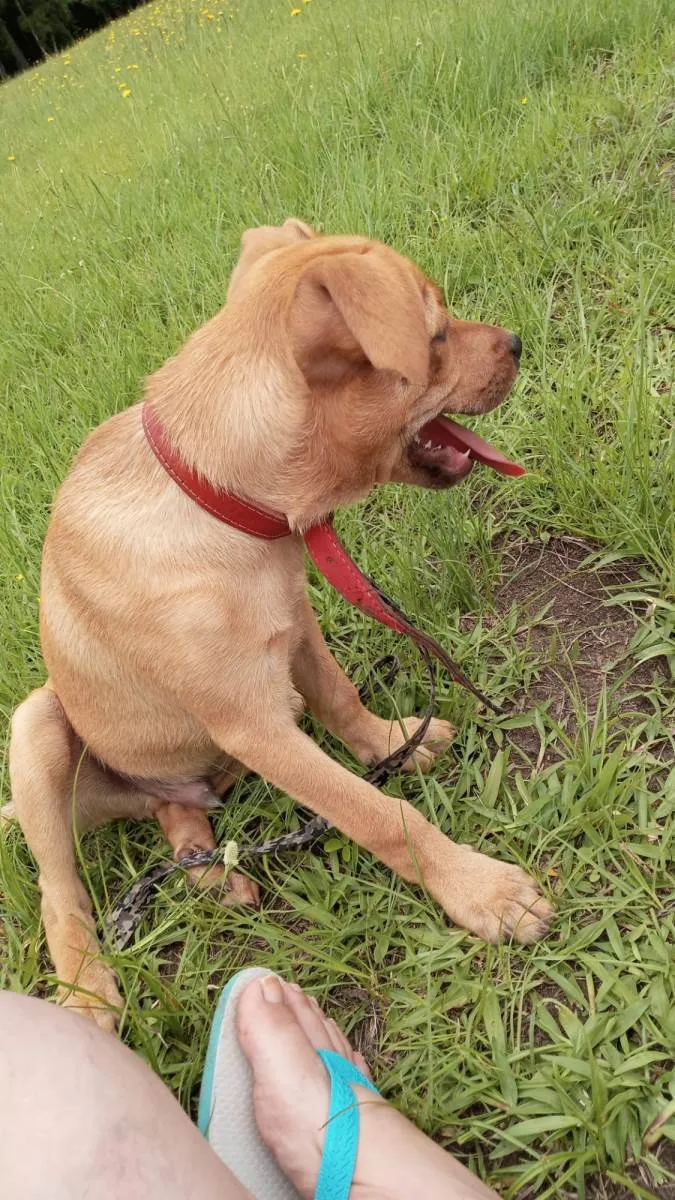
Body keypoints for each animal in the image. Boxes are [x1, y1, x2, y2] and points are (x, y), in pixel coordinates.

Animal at [7, 223, 550, 1032]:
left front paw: (393, 742)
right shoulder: (257, 727)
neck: (217, 500)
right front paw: (479, 889)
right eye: (435, 336)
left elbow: (341, 699)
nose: (516, 341)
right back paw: (85, 985)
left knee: (173, 811)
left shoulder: (295, 624)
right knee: (59, 891)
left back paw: (208, 869)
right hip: (38, 725)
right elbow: (376, 813)